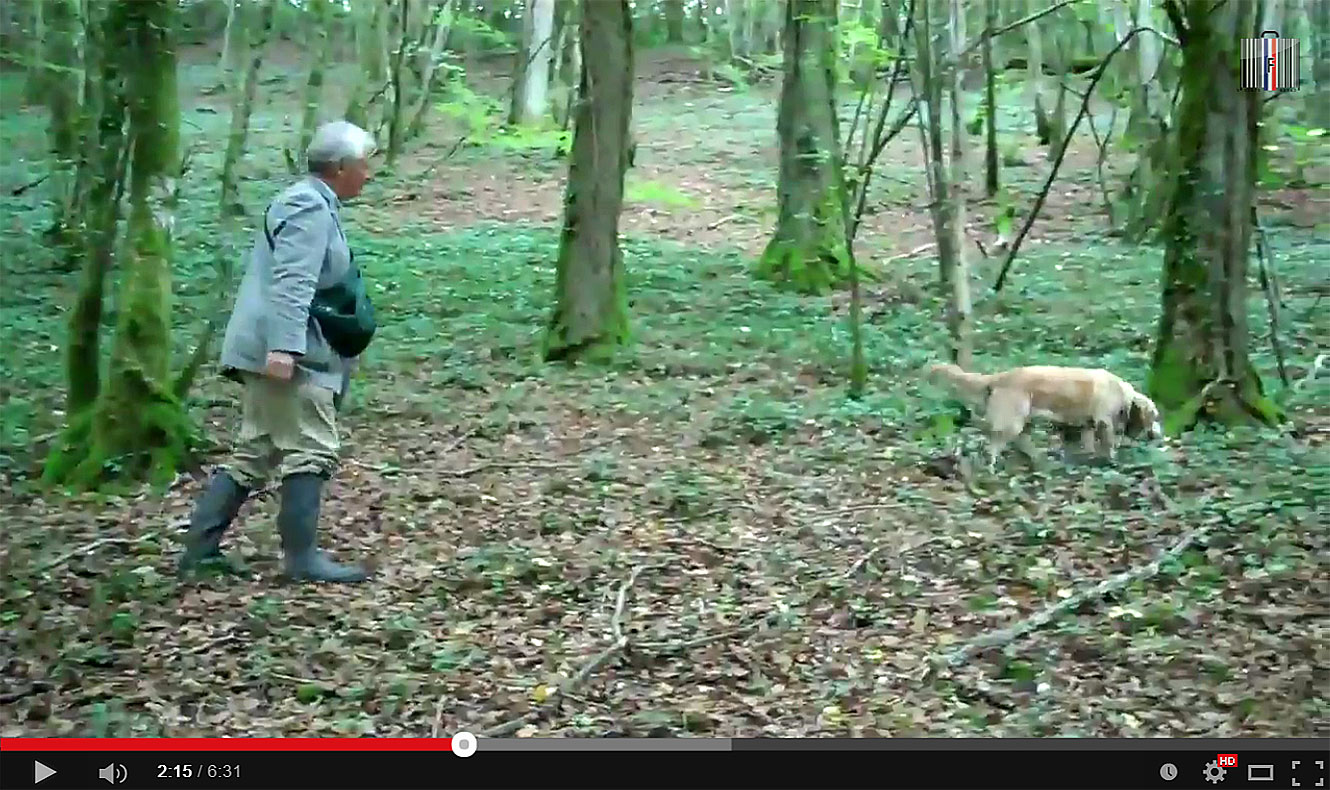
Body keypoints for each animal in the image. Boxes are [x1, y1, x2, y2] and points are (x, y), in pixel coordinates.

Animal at [925, 361, 1165, 468]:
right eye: (1155, 417)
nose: (1160, 436)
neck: (1123, 394)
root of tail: (1000, 376)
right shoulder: (1103, 421)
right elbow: (1109, 443)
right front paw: (1112, 461)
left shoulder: (1087, 424)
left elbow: (1087, 443)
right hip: (1012, 421)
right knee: (990, 440)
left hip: (1022, 421)